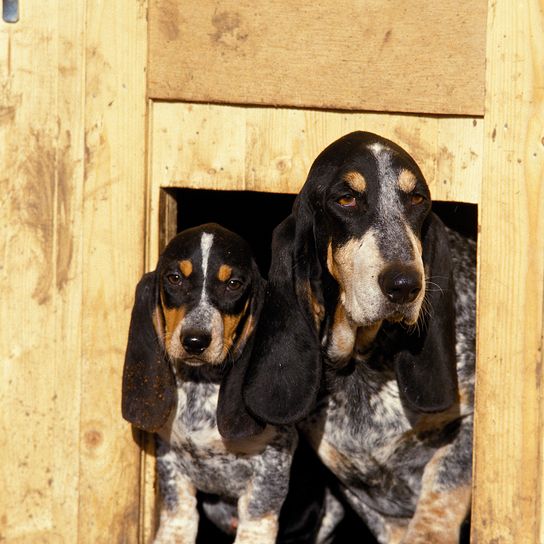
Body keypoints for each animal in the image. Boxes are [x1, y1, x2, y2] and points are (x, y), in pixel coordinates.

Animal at [121, 223, 298, 540]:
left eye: (234, 284)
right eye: (175, 278)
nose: (194, 341)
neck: (200, 384)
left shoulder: (272, 464)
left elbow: (256, 519)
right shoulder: (171, 460)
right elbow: (179, 517)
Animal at [242, 133, 476, 544]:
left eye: (418, 199)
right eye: (346, 199)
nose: (405, 285)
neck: (362, 366)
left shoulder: (468, 422)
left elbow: (440, 495)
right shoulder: (367, 496)